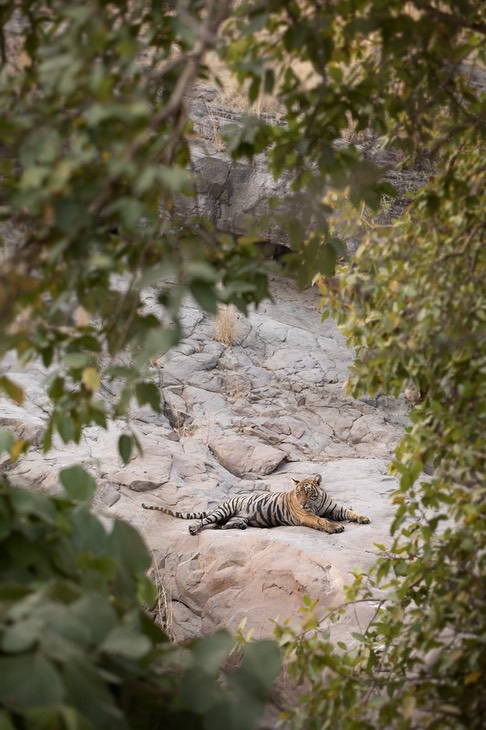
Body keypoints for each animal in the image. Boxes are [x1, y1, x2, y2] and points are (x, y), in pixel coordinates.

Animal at [142, 472, 370, 536]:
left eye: (308, 493)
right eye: (298, 494)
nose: (303, 504)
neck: (316, 503)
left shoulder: (333, 507)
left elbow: (349, 512)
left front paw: (363, 518)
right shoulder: (308, 516)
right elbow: (322, 521)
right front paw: (335, 527)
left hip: (234, 516)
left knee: (223, 526)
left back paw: (240, 525)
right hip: (223, 511)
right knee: (206, 521)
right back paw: (192, 528)